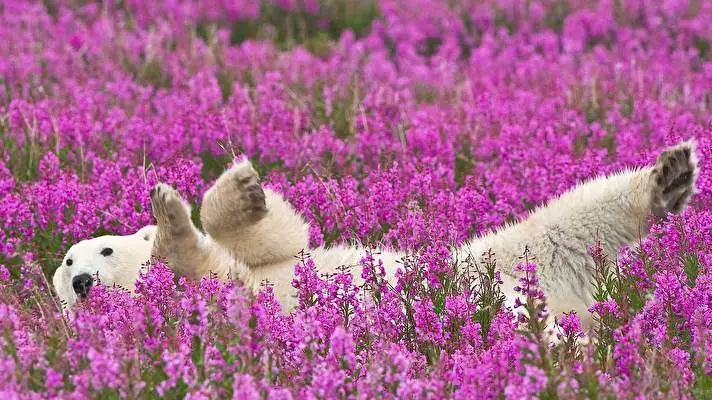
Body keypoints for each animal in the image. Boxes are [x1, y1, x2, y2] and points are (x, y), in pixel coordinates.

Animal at [53, 140, 700, 337]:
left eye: (102, 248)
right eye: (66, 262)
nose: (81, 281)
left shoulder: (278, 258)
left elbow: (280, 237)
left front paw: (232, 190)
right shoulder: (225, 302)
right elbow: (209, 272)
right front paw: (171, 224)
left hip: (495, 260)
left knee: (569, 221)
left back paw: (669, 175)